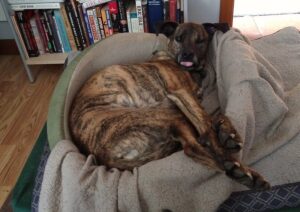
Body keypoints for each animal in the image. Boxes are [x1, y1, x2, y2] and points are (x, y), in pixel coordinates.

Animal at [69, 21, 270, 190]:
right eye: (178, 38)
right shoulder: (182, 94)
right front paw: (224, 147)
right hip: (164, 116)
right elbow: (207, 125)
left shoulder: (190, 102)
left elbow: (216, 116)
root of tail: (101, 156)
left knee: (192, 145)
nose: (187, 55)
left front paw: (229, 134)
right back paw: (239, 169)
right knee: (191, 149)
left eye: (200, 40)